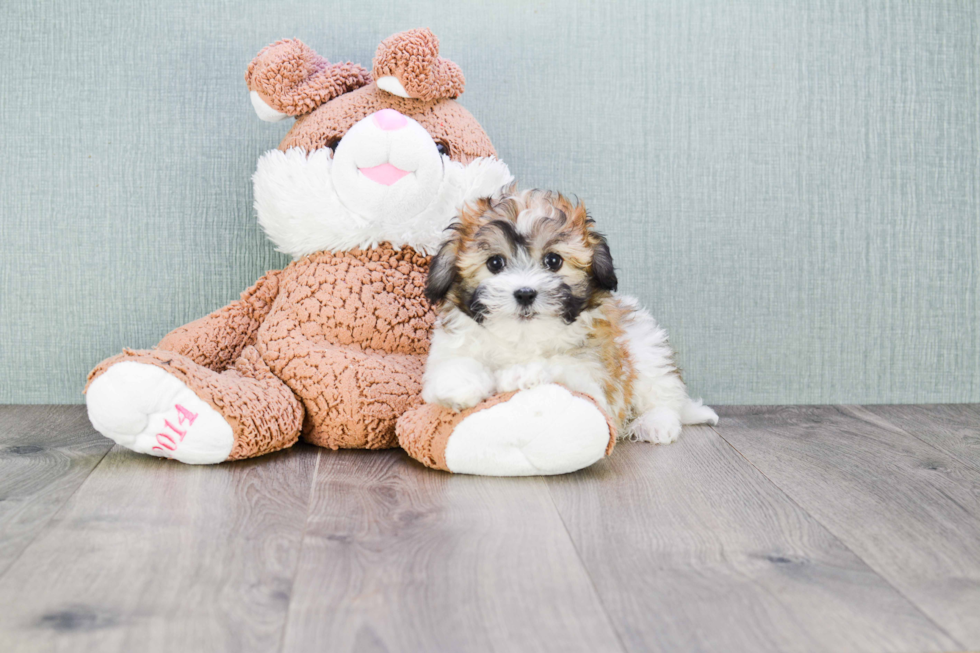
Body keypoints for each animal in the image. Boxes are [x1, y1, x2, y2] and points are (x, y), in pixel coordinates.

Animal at [424, 188, 720, 444]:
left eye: (553, 261)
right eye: (495, 263)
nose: (525, 293)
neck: (522, 339)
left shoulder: (594, 380)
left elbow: (563, 365)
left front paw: (519, 374)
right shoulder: (448, 350)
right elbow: (453, 367)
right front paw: (462, 386)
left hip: (647, 349)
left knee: (664, 395)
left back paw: (656, 423)